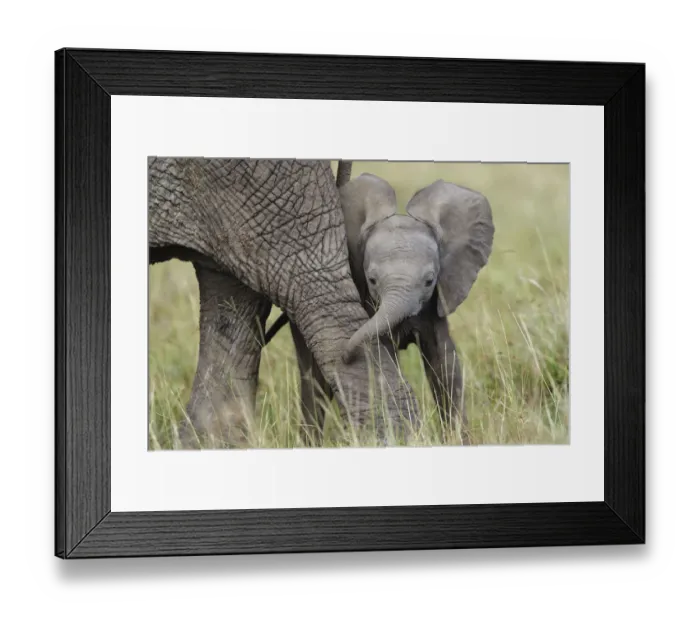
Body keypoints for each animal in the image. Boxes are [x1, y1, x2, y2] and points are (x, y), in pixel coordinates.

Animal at [265, 172, 494, 440]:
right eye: (372, 280)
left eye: (429, 281)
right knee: (314, 379)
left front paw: (458, 439)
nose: (346, 354)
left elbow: (444, 362)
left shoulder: (435, 304)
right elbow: (388, 354)